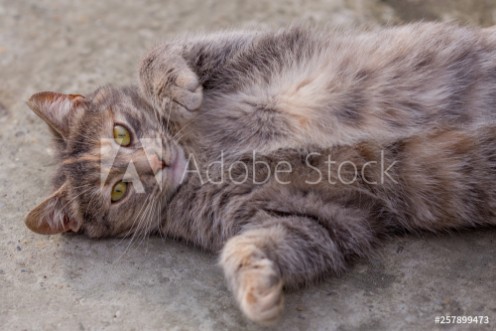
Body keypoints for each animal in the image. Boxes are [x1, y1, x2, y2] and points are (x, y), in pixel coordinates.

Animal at [25, 22, 496, 324]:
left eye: (121, 133)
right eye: (120, 191)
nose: (156, 164)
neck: (198, 156)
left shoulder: (248, 45)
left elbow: (157, 53)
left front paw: (175, 91)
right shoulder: (325, 213)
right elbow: (256, 243)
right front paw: (256, 288)